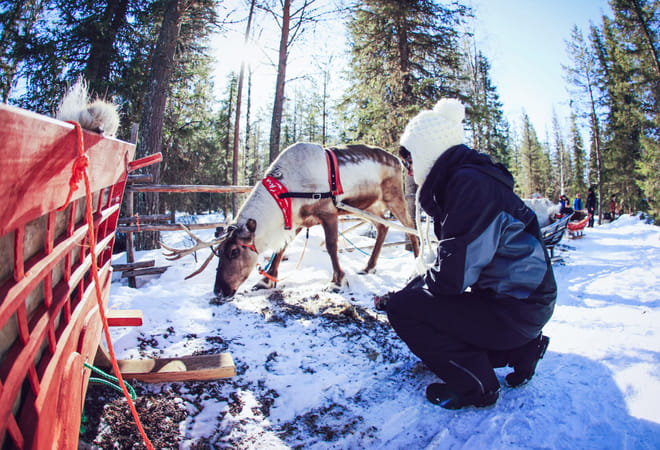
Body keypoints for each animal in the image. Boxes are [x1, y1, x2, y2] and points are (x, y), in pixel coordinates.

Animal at [161, 142, 420, 298]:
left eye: (234, 251)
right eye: (219, 252)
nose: (219, 291)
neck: (286, 190)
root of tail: (397, 160)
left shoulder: (328, 212)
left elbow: (332, 247)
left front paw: (337, 281)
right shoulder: (295, 220)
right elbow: (280, 249)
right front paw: (266, 281)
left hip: (394, 197)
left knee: (411, 226)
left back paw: (417, 266)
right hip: (370, 206)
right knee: (382, 227)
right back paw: (369, 266)